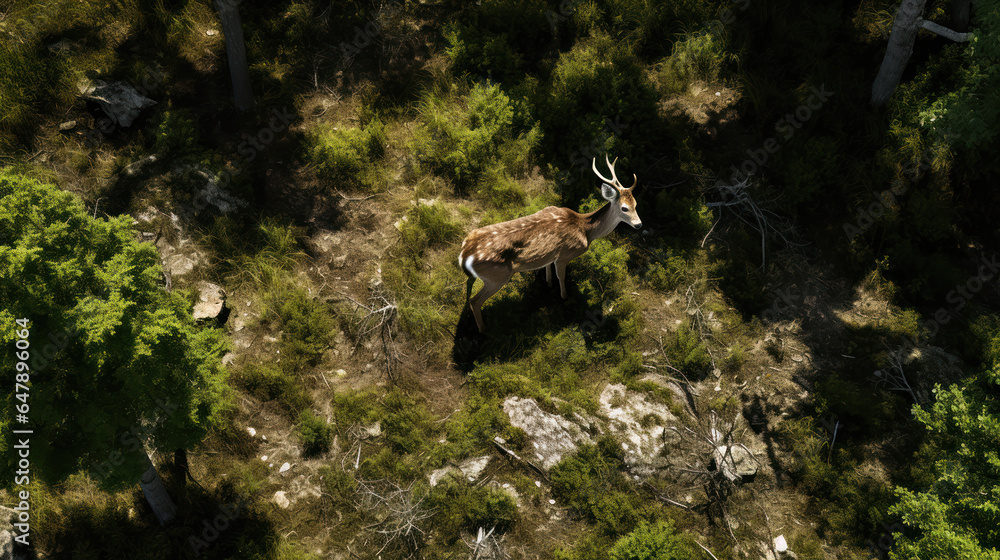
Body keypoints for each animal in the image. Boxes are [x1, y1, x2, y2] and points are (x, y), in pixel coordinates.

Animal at [459, 155, 642, 333]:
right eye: (624, 208)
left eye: (635, 204)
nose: (639, 224)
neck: (585, 230)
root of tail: (463, 255)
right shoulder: (565, 253)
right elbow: (561, 276)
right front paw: (564, 296)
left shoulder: (552, 251)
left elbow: (547, 264)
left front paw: (547, 281)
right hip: (497, 276)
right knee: (475, 301)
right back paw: (483, 329)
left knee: (469, 289)